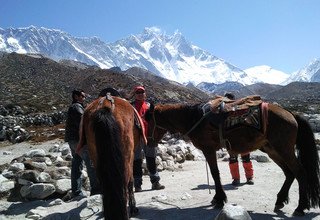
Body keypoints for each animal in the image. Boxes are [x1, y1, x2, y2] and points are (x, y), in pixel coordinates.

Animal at [146, 99, 320, 217]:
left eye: (149, 120)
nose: (148, 140)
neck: (194, 119)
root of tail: (291, 114)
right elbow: (216, 174)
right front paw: (218, 198)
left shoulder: (209, 149)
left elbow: (215, 174)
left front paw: (219, 199)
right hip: (273, 150)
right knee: (289, 173)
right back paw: (280, 201)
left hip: (283, 150)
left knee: (300, 172)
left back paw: (300, 208)